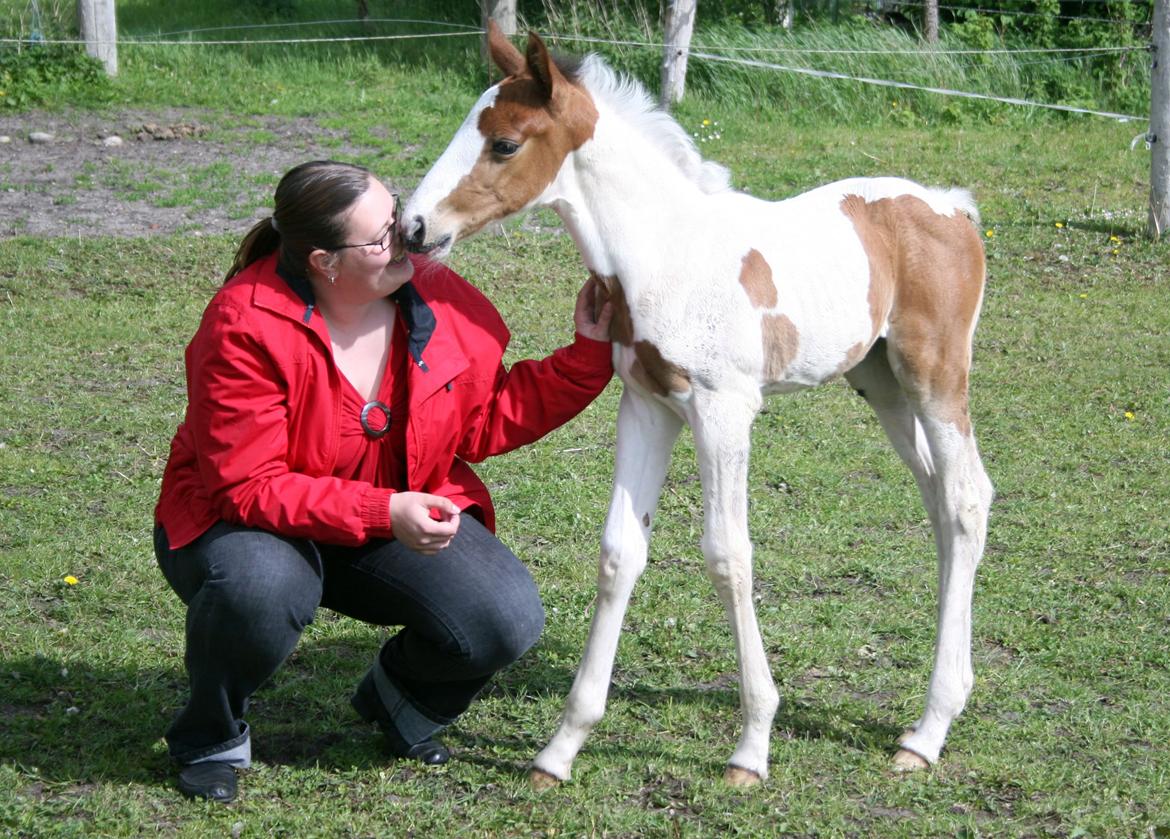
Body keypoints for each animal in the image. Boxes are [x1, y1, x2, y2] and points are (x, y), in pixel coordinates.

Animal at [402, 26, 987, 786]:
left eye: (503, 142)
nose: (412, 227)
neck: (666, 256)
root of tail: (952, 206)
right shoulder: (646, 406)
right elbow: (620, 552)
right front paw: (561, 749)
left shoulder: (723, 412)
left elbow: (728, 555)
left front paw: (752, 746)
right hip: (882, 383)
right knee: (943, 503)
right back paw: (944, 704)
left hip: (934, 378)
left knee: (967, 500)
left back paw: (928, 731)